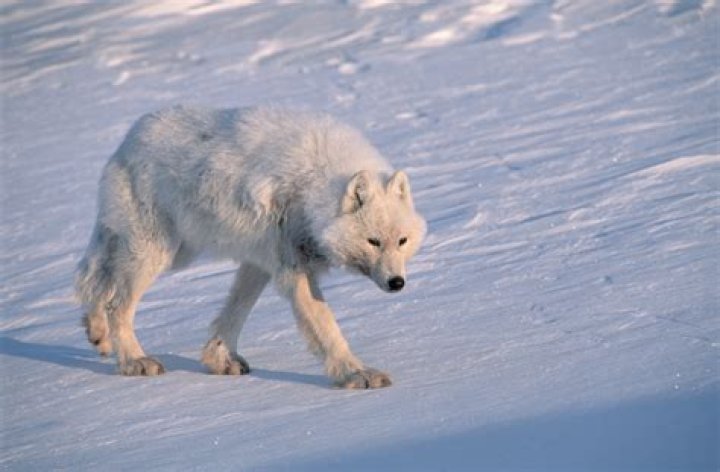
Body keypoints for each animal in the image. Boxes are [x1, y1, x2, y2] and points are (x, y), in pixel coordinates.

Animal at [74, 105, 426, 388]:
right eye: (373, 242)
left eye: (402, 241)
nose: (397, 283)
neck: (314, 185)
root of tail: (129, 139)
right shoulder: (292, 267)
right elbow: (326, 327)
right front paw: (356, 374)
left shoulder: (261, 262)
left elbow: (235, 312)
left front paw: (219, 359)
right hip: (157, 254)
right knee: (116, 303)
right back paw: (134, 361)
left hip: (173, 253)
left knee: (94, 280)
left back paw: (98, 334)